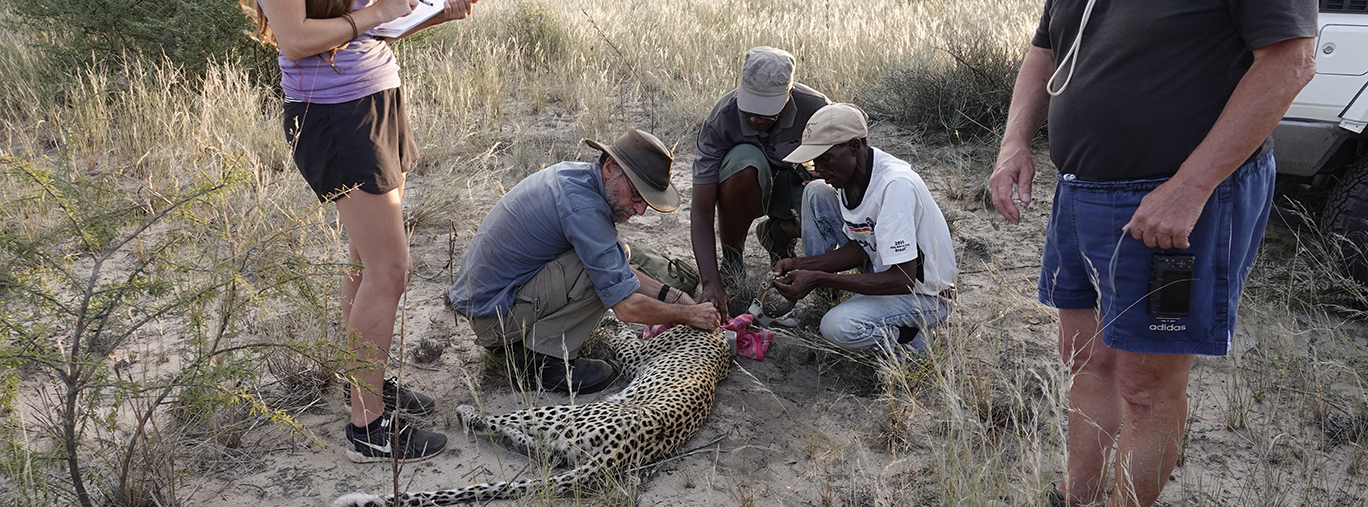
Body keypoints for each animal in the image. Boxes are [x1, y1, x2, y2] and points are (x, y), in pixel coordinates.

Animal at [331, 317, 731, 507]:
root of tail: (619, 455)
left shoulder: (637, 358)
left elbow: (626, 340)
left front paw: (611, 321)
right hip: (568, 438)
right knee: (548, 455)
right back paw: (510, 439)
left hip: (560, 412)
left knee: (502, 425)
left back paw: (469, 413)